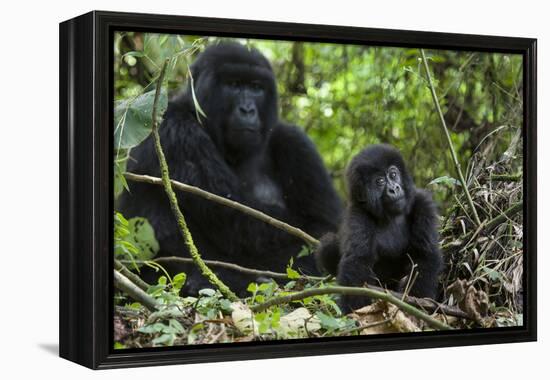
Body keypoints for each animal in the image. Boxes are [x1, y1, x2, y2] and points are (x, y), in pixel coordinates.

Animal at [120, 43, 342, 294]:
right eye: (233, 85)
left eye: (256, 88)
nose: (247, 110)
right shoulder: (175, 129)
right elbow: (242, 225)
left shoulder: (296, 142)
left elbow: (324, 223)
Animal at [316, 144, 442, 314]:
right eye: (380, 181)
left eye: (393, 174)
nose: (394, 189)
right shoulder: (358, 214)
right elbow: (357, 262)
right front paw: (354, 312)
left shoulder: (423, 202)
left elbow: (425, 254)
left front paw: (418, 302)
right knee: (327, 245)